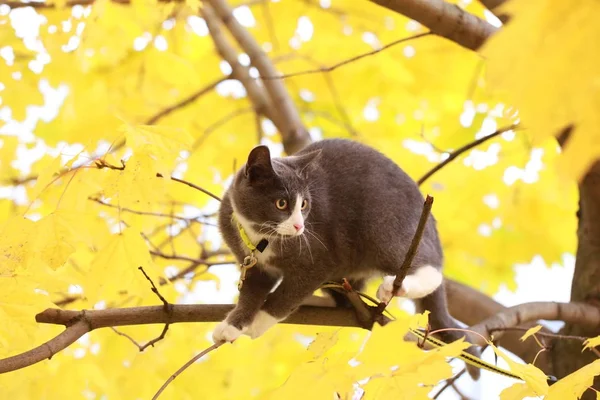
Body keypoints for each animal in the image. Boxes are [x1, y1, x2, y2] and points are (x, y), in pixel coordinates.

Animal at [213, 141, 476, 356]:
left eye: (304, 204)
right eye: (281, 203)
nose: (299, 226)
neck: (260, 238)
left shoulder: (318, 257)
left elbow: (287, 295)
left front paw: (259, 323)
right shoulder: (254, 266)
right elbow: (251, 293)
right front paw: (231, 326)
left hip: (386, 223)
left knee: (426, 267)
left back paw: (394, 285)